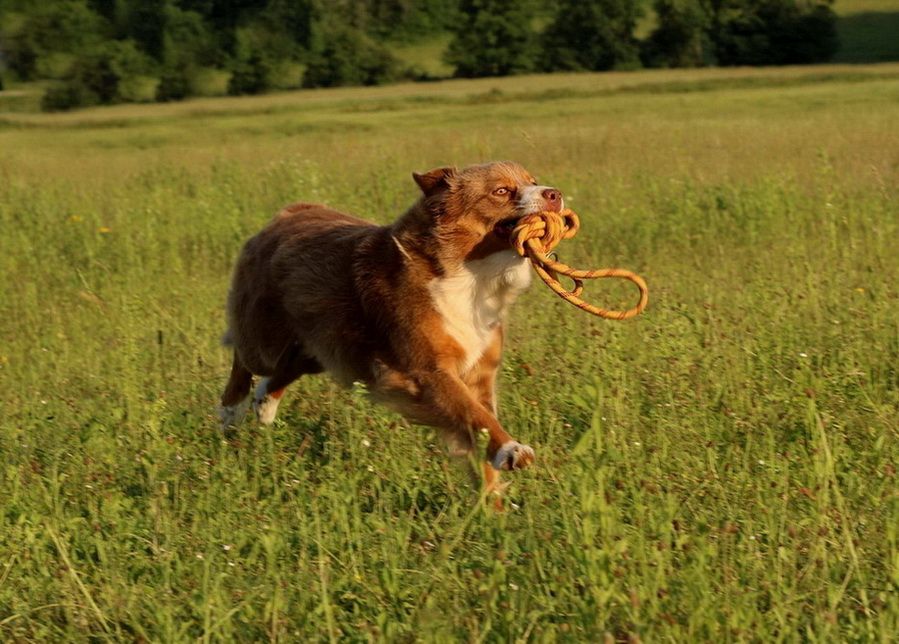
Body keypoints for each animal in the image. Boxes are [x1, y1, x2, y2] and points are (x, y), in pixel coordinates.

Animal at [218, 164, 564, 496]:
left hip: (323, 345)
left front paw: (491, 502)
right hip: (266, 338)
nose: (555, 194)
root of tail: (288, 213)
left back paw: (265, 404)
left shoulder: (480, 372)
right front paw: (512, 450)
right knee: (244, 358)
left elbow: (481, 421)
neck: (469, 274)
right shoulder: (427, 370)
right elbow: (473, 414)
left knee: (284, 370)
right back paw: (230, 413)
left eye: (533, 180)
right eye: (501, 191)